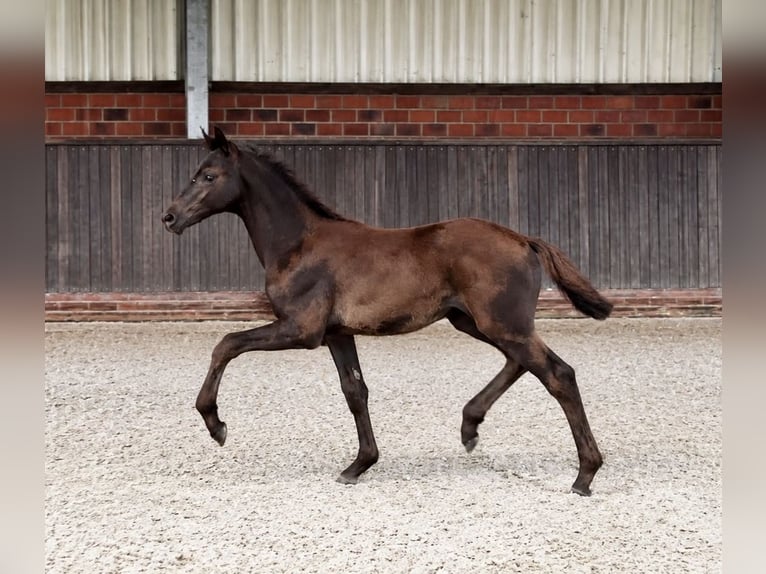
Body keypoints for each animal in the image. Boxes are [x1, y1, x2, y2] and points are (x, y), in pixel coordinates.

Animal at [162, 127, 613, 496]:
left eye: (208, 176)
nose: (169, 217)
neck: (299, 244)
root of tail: (523, 239)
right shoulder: (337, 333)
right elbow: (355, 391)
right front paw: (359, 464)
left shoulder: (301, 329)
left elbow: (226, 343)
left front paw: (216, 424)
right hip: (475, 321)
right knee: (520, 363)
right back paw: (470, 426)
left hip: (501, 323)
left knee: (558, 375)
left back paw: (585, 474)